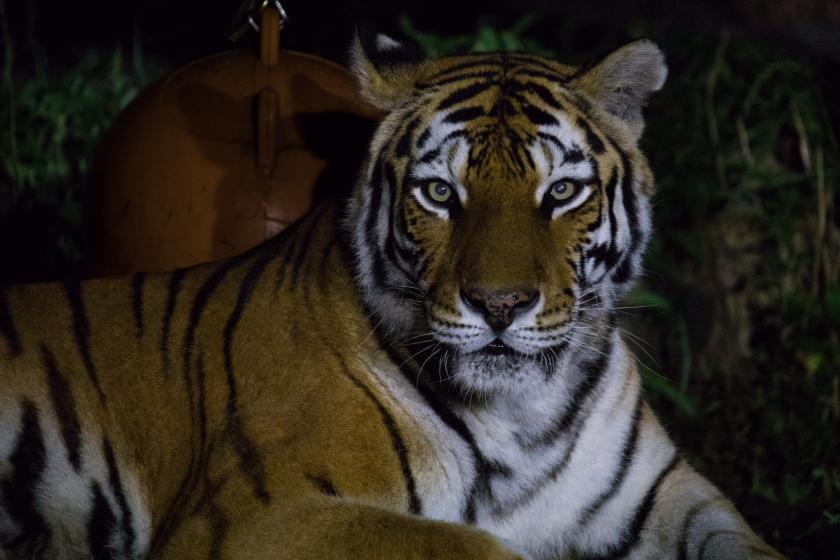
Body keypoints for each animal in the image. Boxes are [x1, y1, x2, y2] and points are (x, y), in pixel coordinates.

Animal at [1, 29, 788, 560]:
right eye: (440, 194)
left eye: (561, 192)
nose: (499, 306)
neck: (523, 415)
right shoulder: (252, 517)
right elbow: (471, 545)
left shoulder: (666, 498)